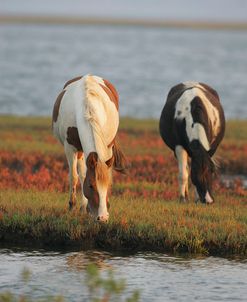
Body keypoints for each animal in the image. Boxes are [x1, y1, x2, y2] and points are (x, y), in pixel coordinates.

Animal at [52, 74, 125, 221]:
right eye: (91, 186)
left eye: (109, 186)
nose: (102, 217)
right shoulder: (70, 148)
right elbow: (74, 176)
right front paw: (72, 206)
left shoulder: (106, 147)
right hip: (80, 150)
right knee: (81, 173)